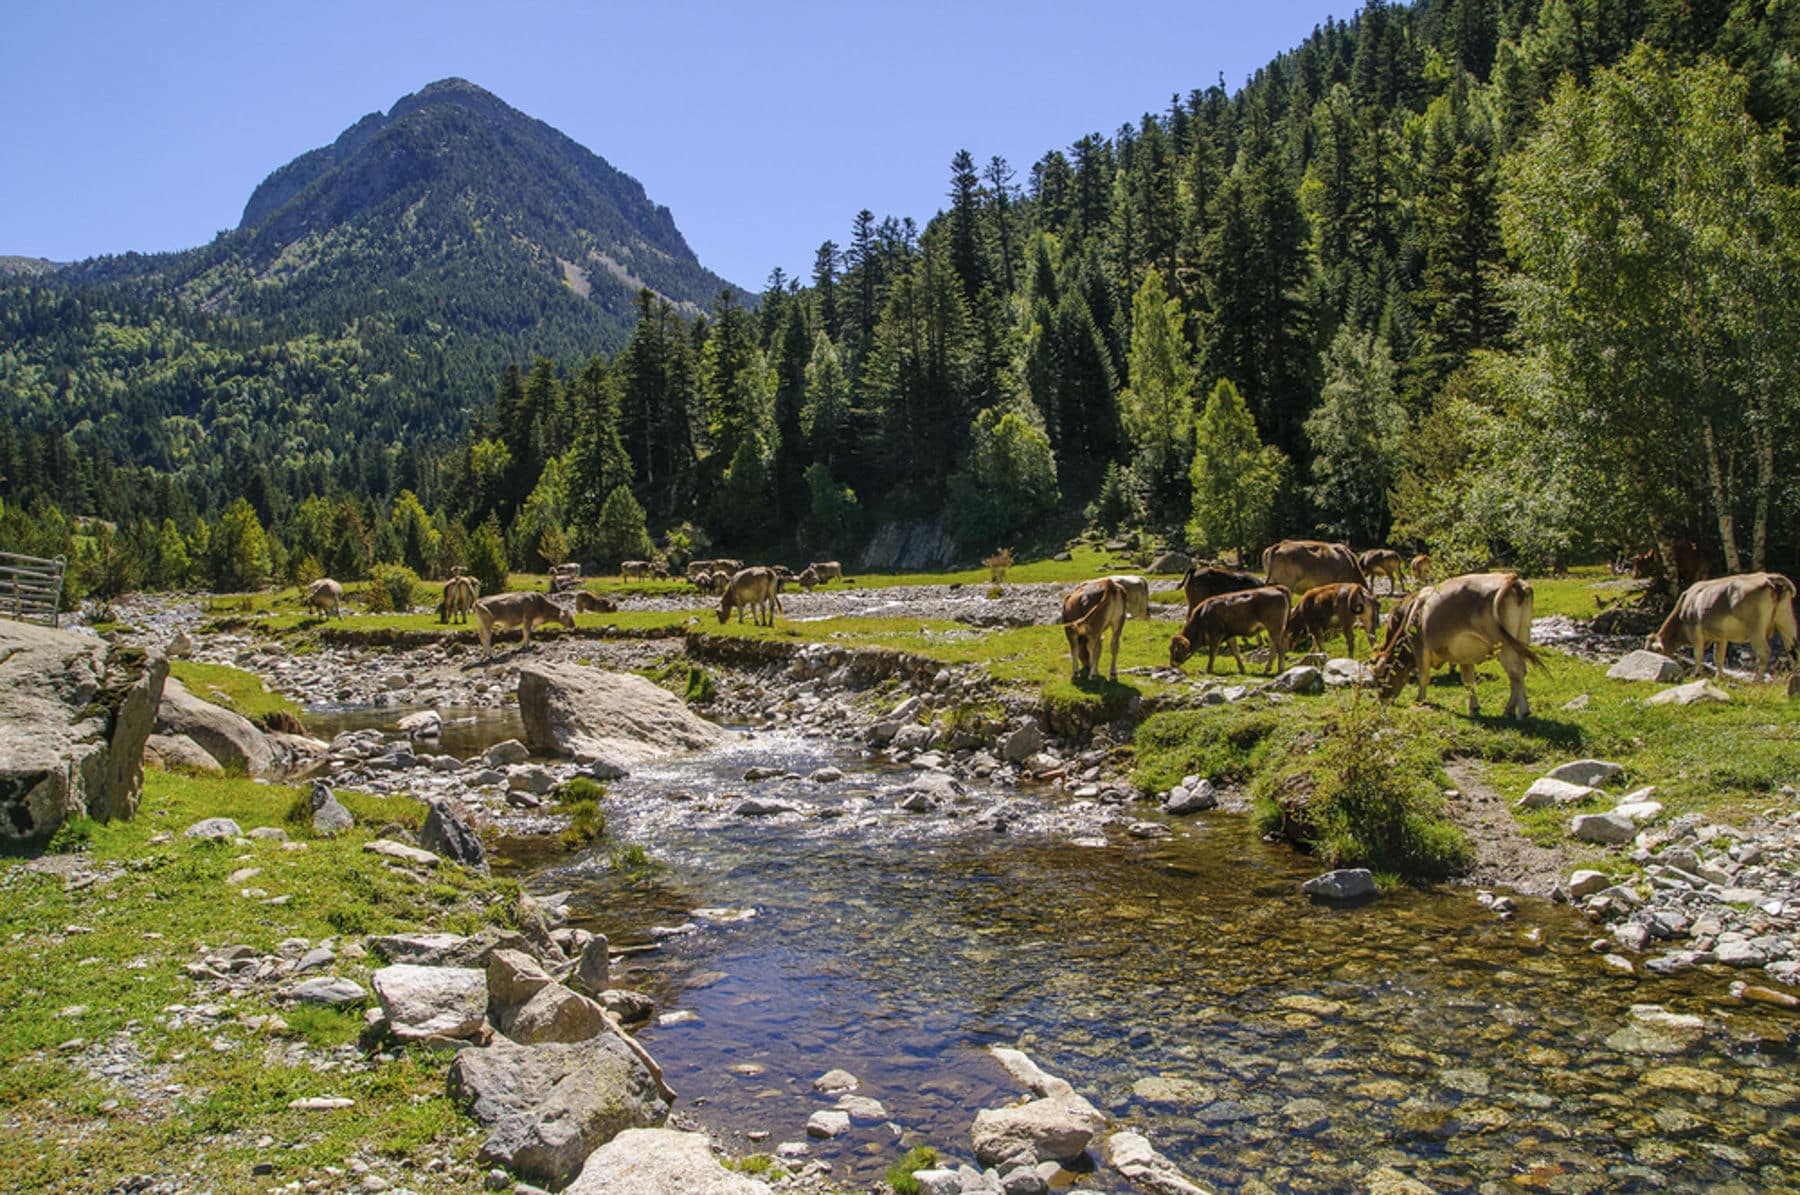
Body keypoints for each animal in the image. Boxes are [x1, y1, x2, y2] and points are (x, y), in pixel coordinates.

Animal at [1166, 586, 1296, 676]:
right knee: (1274, 648)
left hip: (1275, 628)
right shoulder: (1229, 636)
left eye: (1177, 649)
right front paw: (1242, 669)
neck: (1202, 615)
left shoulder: (1215, 635)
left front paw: (1208, 669)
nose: (1172, 664)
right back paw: (1267, 670)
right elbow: (1236, 652)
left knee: (1280, 648)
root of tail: (1277, 588)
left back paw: (1280, 669)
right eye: (1170, 649)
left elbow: (1212, 653)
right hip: (1272, 630)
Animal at [1368, 572, 1540, 719]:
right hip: (1521, 637)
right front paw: (1473, 707)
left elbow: (1424, 676)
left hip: (1504, 645)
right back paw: (1510, 710)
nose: (1380, 700)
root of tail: (1510, 579)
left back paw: (1521, 711)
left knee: (1515, 672)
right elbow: (1468, 680)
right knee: (1520, 672)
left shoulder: (1420, 647)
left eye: (1380, 677)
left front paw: (1419, 700)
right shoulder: (1466, 654)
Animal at [1648, 572, 1800, 680]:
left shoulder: (1695, 631)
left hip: (1755, 628)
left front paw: (1696, 674)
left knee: (1764, 652)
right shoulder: (1720, 636)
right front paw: (1719, 677)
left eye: (1652, 652)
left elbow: (1698, 654)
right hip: (1786, 621)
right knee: (1793, 650)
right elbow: (1718, 657)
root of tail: (1767, 576)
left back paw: (1757, 680)